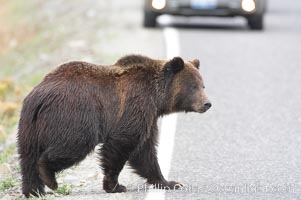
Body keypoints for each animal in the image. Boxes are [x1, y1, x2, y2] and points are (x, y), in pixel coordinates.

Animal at [17, 54, 211, 197]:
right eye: (193, 86)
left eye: (203, 85)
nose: (207, 103)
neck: (157, 99)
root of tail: (40, 96)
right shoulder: (135, 106)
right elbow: (123, 143)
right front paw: (115, 185)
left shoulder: (149, 117)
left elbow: (145, 151)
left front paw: (169, 182)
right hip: (74, 116)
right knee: (73, 145)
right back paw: (49, 178)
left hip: (29, 125)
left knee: (28, 156)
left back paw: (34, 190)